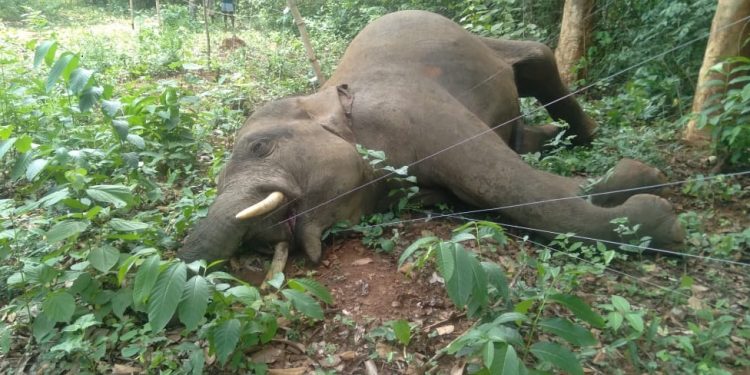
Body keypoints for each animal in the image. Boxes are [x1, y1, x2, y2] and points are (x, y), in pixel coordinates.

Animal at [178, 9, 688, 268]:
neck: (326, 95)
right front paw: (632, 185)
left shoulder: (417, 111)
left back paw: (591, 139)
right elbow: (482, 194)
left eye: (260, 147)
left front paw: (657, 214)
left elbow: (511, 187)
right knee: (522, 134)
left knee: (535, 58)